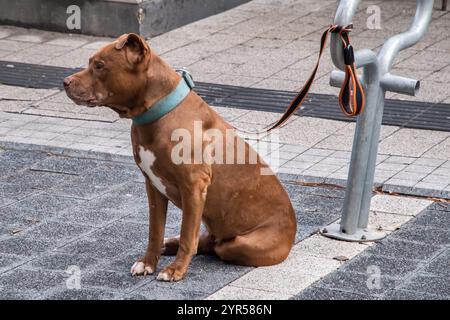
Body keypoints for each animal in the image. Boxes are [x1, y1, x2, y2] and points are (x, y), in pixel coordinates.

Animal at [62, 33, 296, 282]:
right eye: (90, 62)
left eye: (99, 65)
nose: (65, 82)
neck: (158, 113)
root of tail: (293, 229)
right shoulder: (153, 185)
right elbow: (155, 231)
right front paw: (148, 262)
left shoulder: (193, 186)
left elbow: (187, 235)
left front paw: (176, 269)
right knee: (207, 240)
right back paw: (169, 244)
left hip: (241, 244)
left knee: (214, 245)